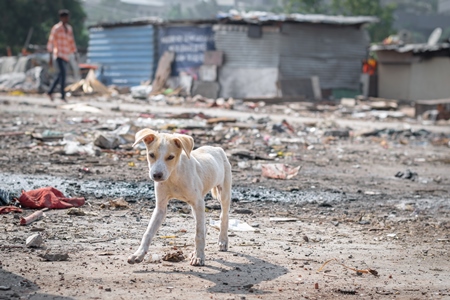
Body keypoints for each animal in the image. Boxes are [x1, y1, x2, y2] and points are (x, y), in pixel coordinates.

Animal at [126, 128, 232, 264]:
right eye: (151, 155)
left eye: (170, 157)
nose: (157, 175)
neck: (174, 176)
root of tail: (216, 148)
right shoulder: (161, 207)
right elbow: (148, 232)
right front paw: (138, 254)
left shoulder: (198, 203)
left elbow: (198, 234)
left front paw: (199, 256)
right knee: (203, 224)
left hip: (223, 193)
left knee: (224, 216)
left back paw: (223, 240)